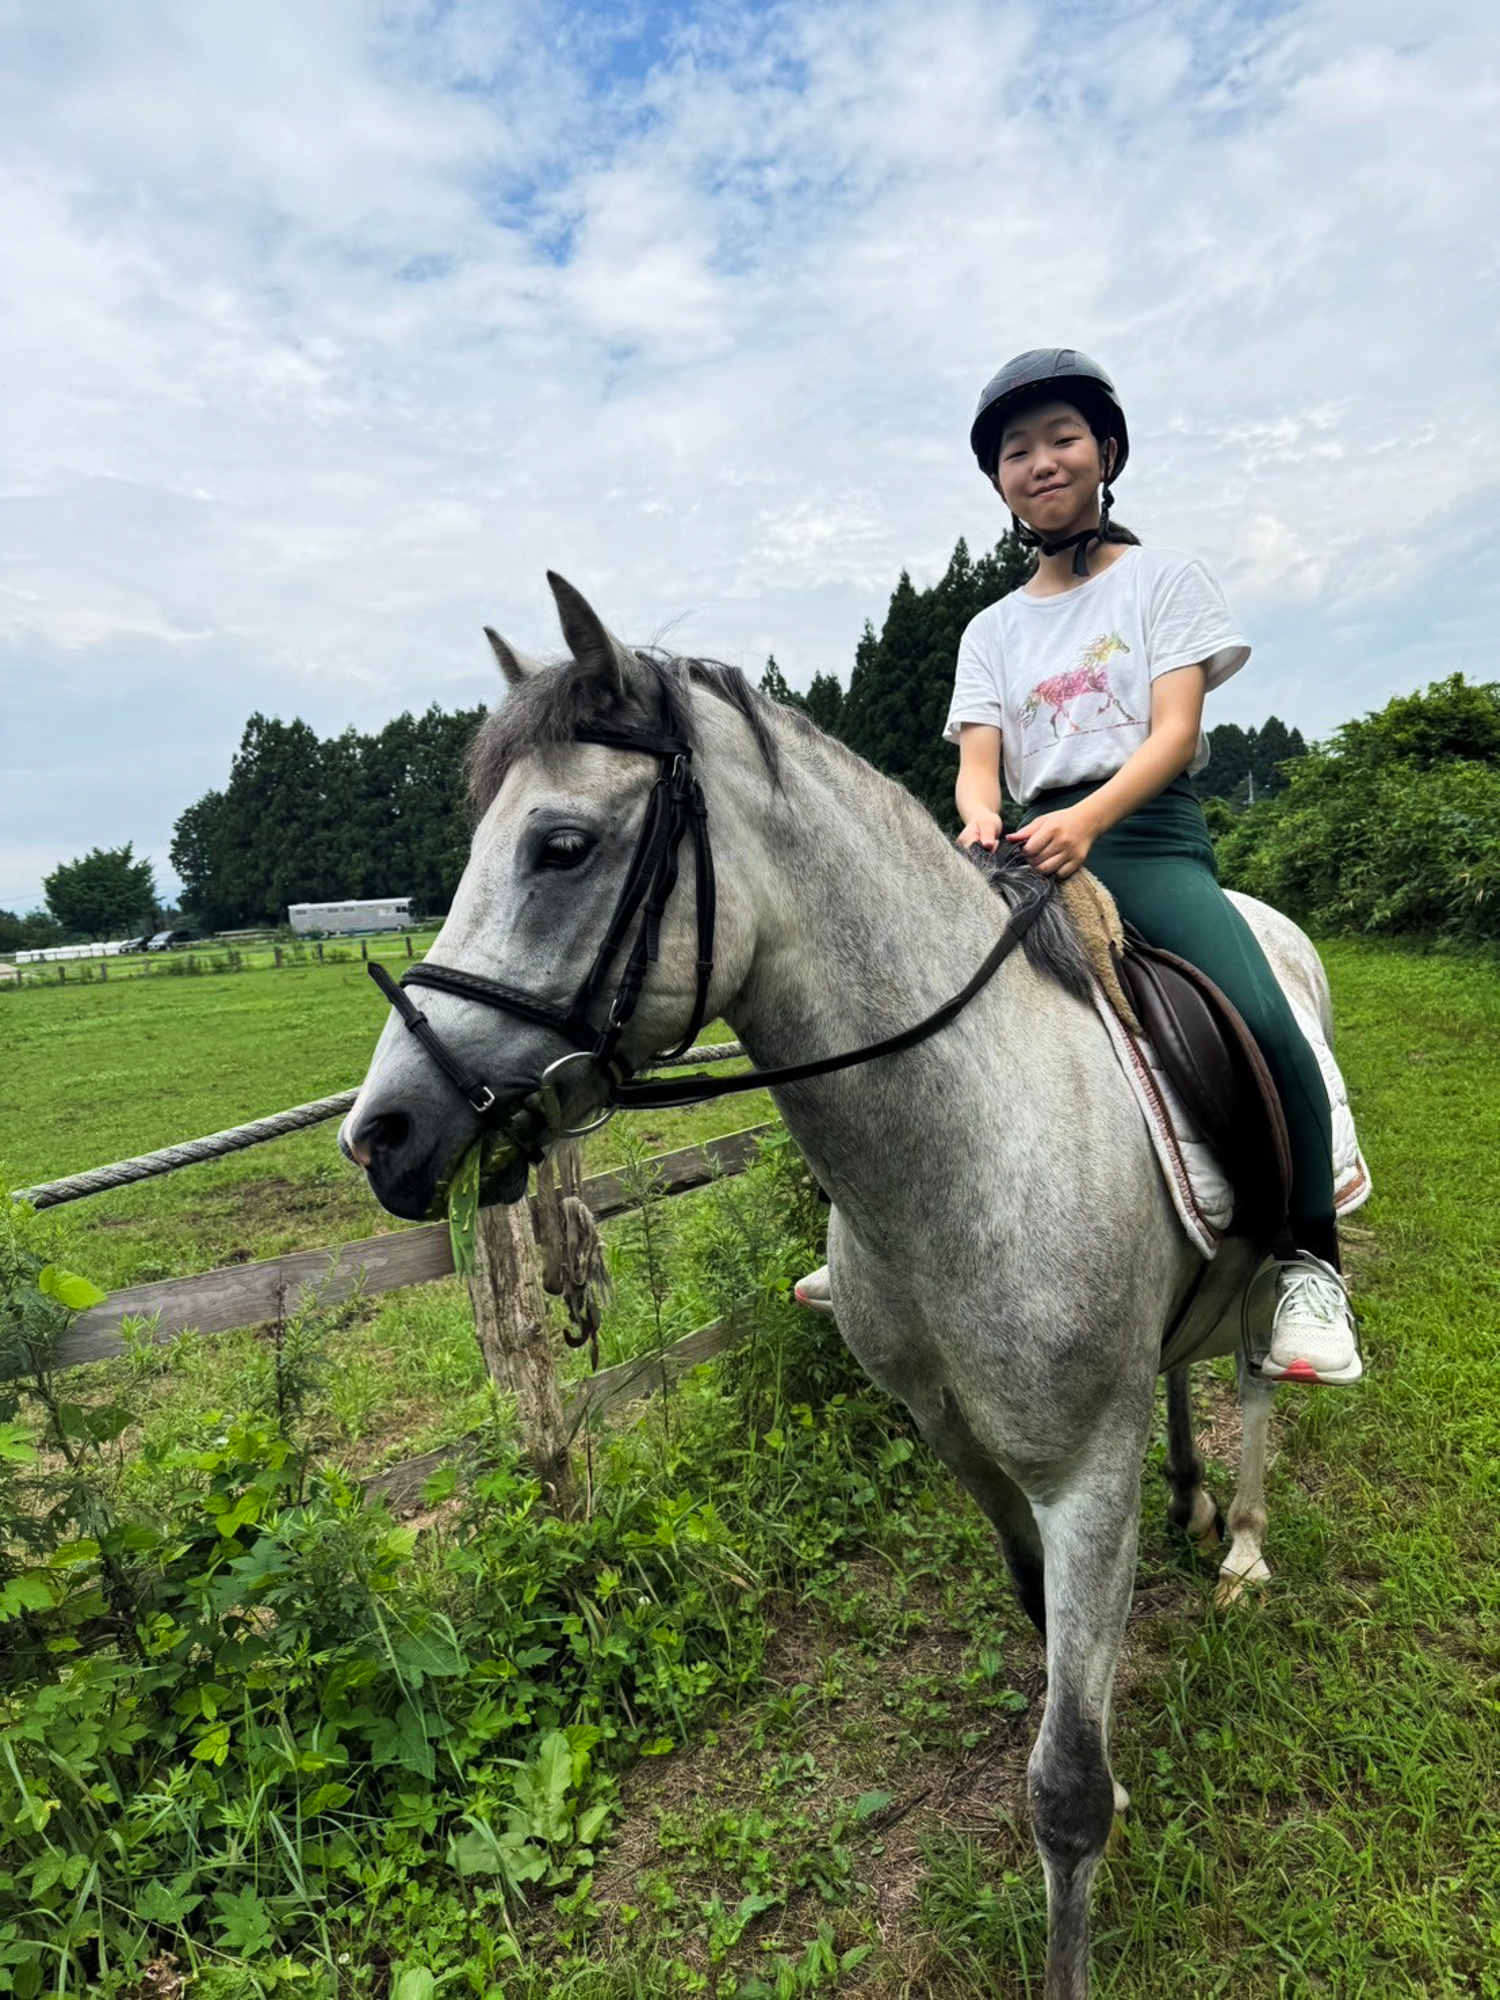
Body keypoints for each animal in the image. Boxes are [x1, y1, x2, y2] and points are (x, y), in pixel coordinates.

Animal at [344, 580, 1336, 2000]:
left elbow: (1064, 1786)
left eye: (562, 845)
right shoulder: (958, 1440)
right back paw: (1201, 1499)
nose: (380, 1134)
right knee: (1189, 1369)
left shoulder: (1085, 1469)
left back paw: (1245, 1540)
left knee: (1258, 1373)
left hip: (1275, 1263)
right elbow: (1045, 1638)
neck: (967, 1144)